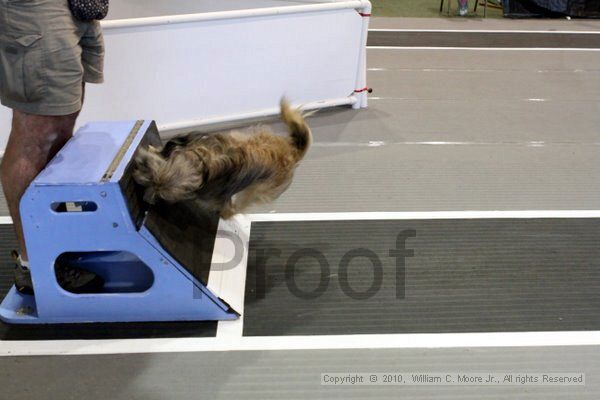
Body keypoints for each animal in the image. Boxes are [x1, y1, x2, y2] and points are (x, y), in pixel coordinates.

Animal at [131, 99, 310, 219]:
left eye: (163, 193)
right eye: (149, 176)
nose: (147, 200)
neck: (202, 161)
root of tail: (292, 152)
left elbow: (225, 207)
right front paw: (153, 149)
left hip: (258, 190)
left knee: (243, 203)